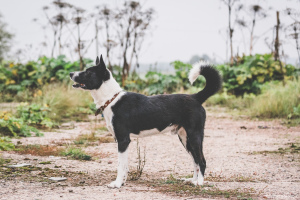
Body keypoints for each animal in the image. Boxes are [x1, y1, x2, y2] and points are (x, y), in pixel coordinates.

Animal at [69, 55, 220, 188]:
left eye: (88, 72)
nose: (71, 73)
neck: (112, 99)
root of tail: (195, 97)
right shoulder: (122, 141)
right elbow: (124, 165)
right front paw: (122, 182)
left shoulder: (123, 140)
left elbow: (120, 166)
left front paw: (117, 184)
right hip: (185, 138)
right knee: (195, 160)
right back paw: (192, 180)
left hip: (194, 136)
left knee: (201, 160)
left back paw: (199, 183)